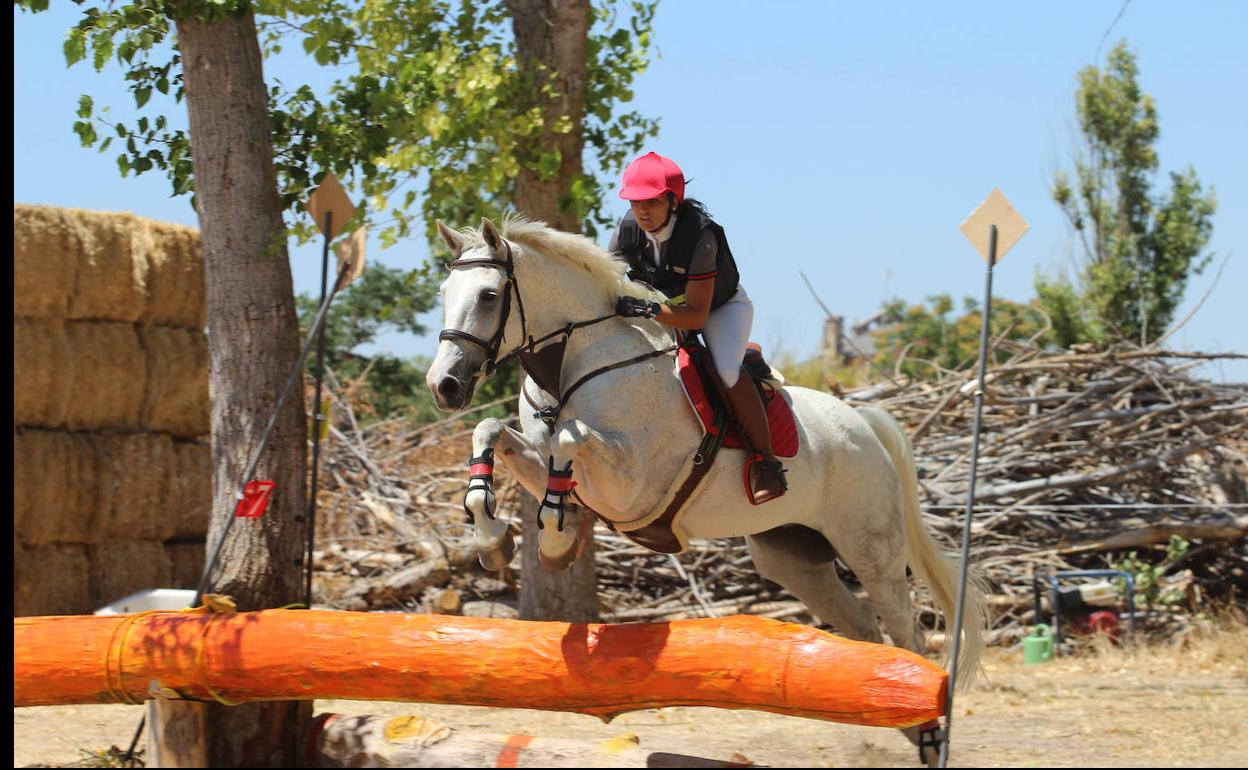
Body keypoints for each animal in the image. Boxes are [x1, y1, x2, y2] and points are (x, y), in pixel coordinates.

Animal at [426, 215, 983, 758]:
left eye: (489, 295)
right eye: (445, 292)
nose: (443, 387)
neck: (573, 364)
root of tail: (864, 422)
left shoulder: (630, 483)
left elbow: (569, 437)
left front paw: (557, 541)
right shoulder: (554, 471)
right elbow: (490, 433)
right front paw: (493, 540)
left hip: (871, 547)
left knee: (906, 631)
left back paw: (930, 733)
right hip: (793, 559)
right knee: (864, 627)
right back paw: (900, 724)